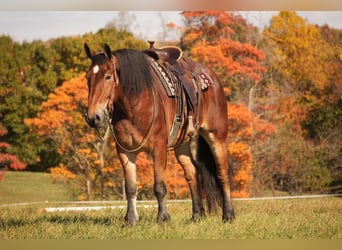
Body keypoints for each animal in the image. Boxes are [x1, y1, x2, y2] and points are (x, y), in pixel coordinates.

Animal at [84, 42, 236, 224]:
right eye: (87, 77)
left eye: (108, 76)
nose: (93, 117)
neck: (136, 104)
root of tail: (212, 78)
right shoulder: (125, 151)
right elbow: (131, 187)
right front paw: (131, 219)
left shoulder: (158, 148)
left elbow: (160, 186)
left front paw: (163, 217)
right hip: (182, 144)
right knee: (192, 174)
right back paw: (197, 215)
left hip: (216, 137)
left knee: (222, 173)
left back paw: (228, 215)